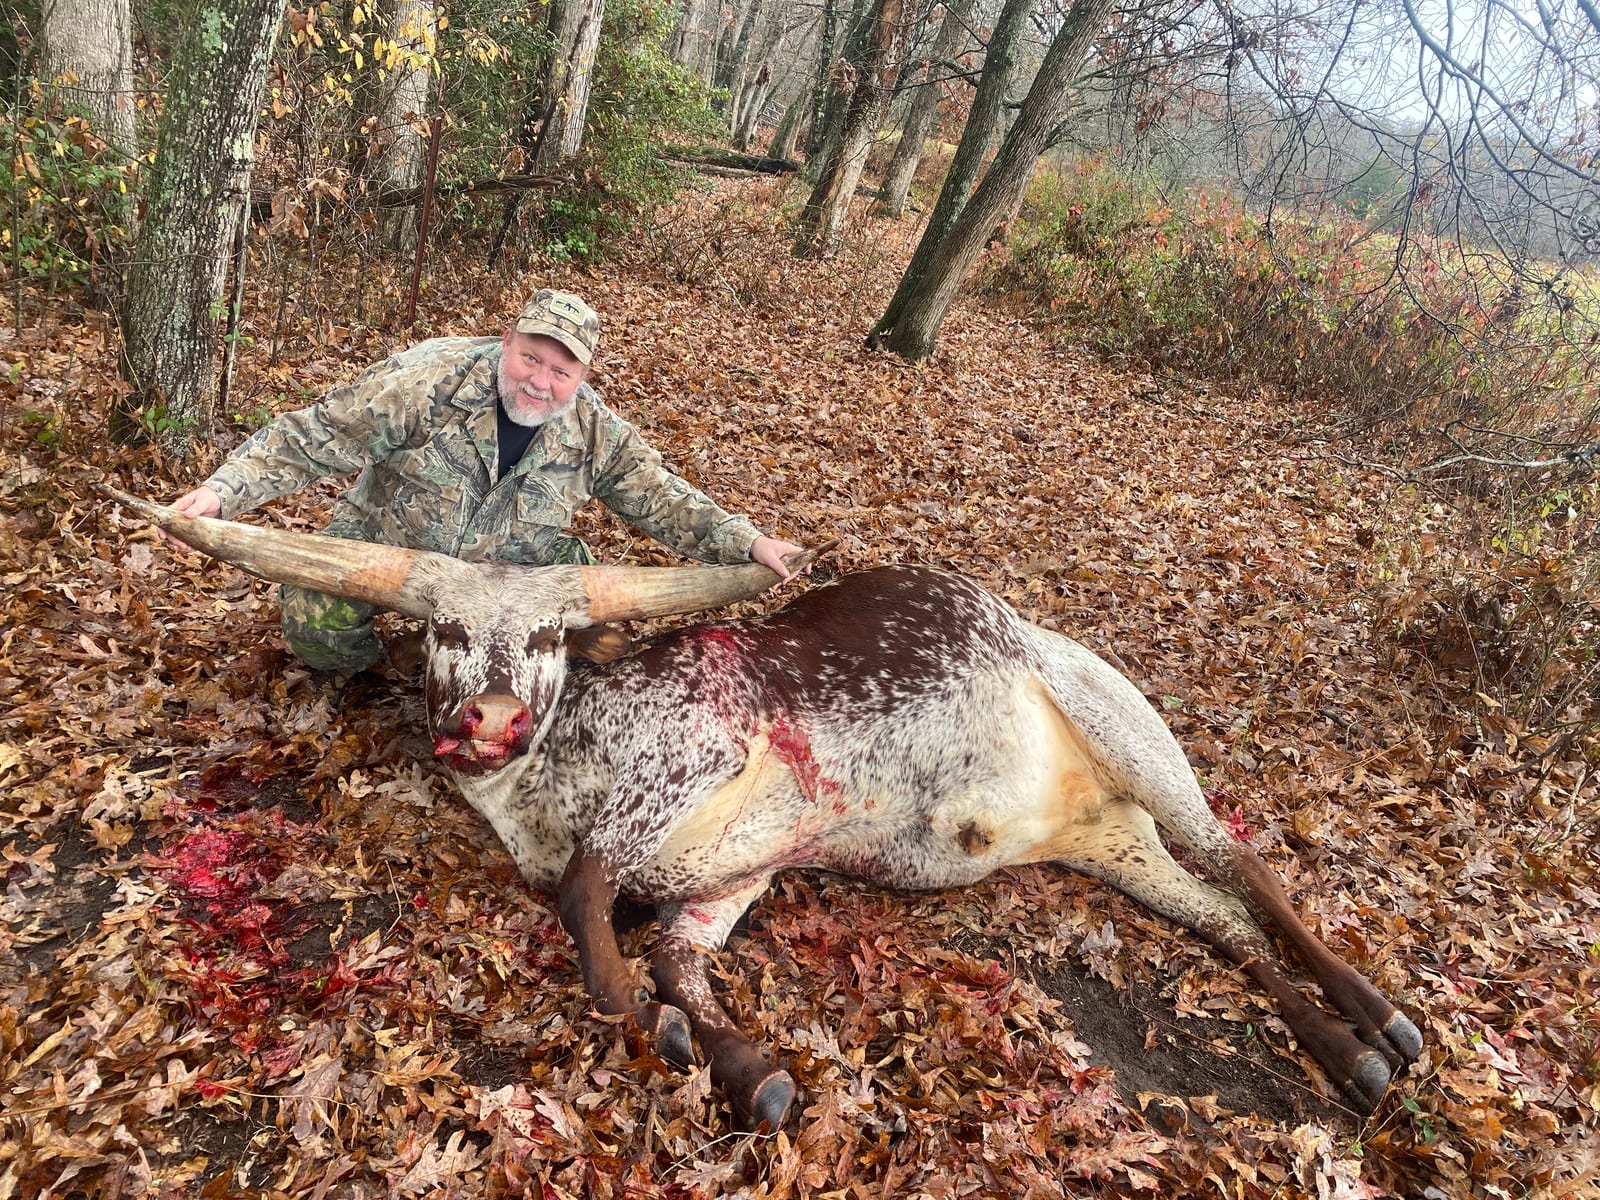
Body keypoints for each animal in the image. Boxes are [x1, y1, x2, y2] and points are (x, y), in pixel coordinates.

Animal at [105, 486, 1421, 1129]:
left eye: (549, 637)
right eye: (439, 631)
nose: (485, 717)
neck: (544, 783)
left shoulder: (698, 759)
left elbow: (587, 900)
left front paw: (643, 1020)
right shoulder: (734, 878)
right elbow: (678, 958)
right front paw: (739, 1062)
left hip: (1131, 737)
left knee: (1244, 868)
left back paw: (1378, 1016)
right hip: (1105, 843)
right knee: (1217, 919)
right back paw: (1343, 1056)